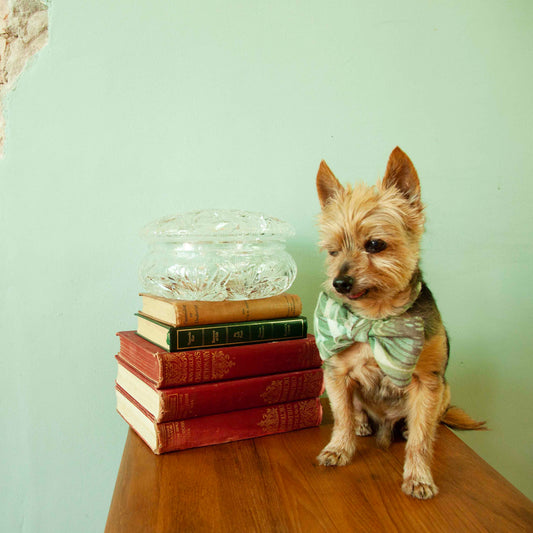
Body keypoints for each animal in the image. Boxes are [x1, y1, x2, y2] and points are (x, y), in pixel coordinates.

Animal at [314, 147, 484, 498]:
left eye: (375, 245)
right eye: (332, 251)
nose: (339, 283)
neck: (376, 316)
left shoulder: (427, 383)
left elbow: (420, 439)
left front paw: (418, 477)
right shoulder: (337, 374)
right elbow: (342, 417)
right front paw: (339, 448)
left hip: (444, 390)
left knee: (427, 424)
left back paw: (407, 430)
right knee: (356, 409)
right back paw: (363, 424)